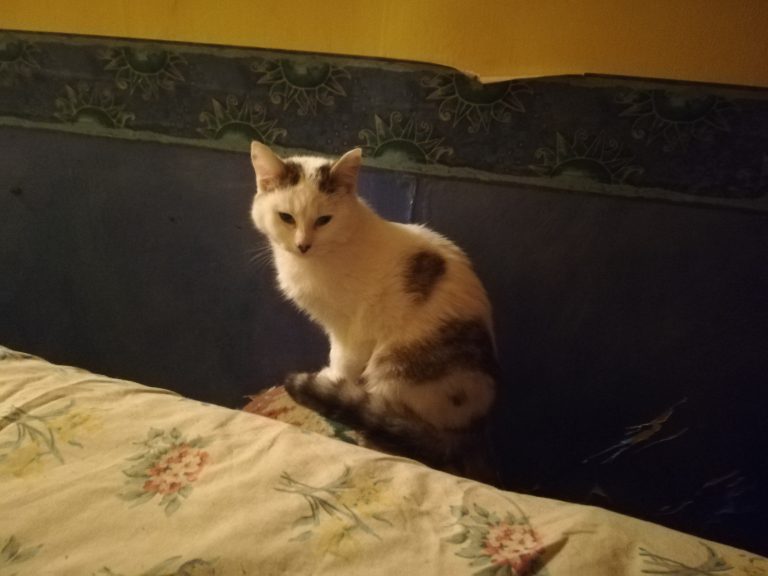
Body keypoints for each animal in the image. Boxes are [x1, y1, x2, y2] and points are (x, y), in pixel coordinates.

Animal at [249, 141, 500, 477]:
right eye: (286, 218)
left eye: (324, 220)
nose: (303, 245)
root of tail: (470, 434)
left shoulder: (353, 330)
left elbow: (342, 360)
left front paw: (331, 381)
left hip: (395, 365)